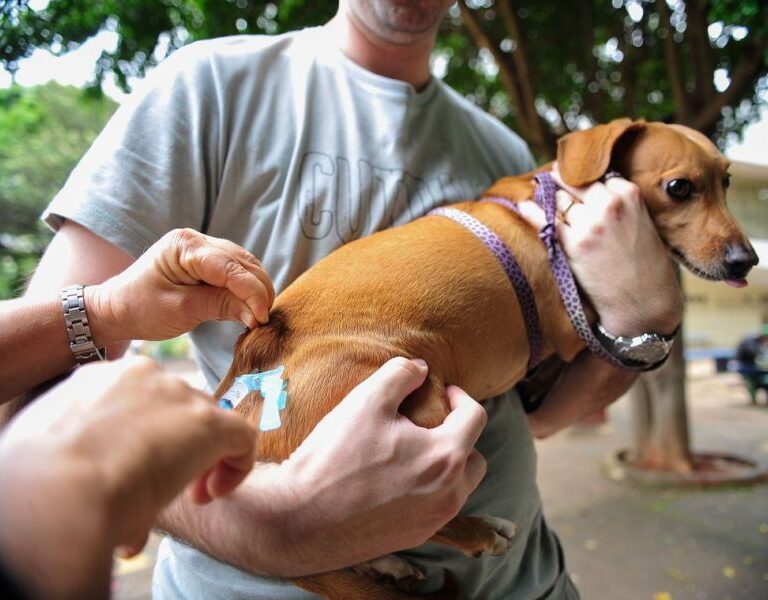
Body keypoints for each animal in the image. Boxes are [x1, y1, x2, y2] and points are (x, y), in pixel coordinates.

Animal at [214, 119, 756, 596]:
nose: (746, 260)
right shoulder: (573, 331)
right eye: (679, 187)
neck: (549, 205)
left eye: (727, 181)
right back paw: (475, 533)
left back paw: (389, 565)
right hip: (422, 404)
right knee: (404, 518)